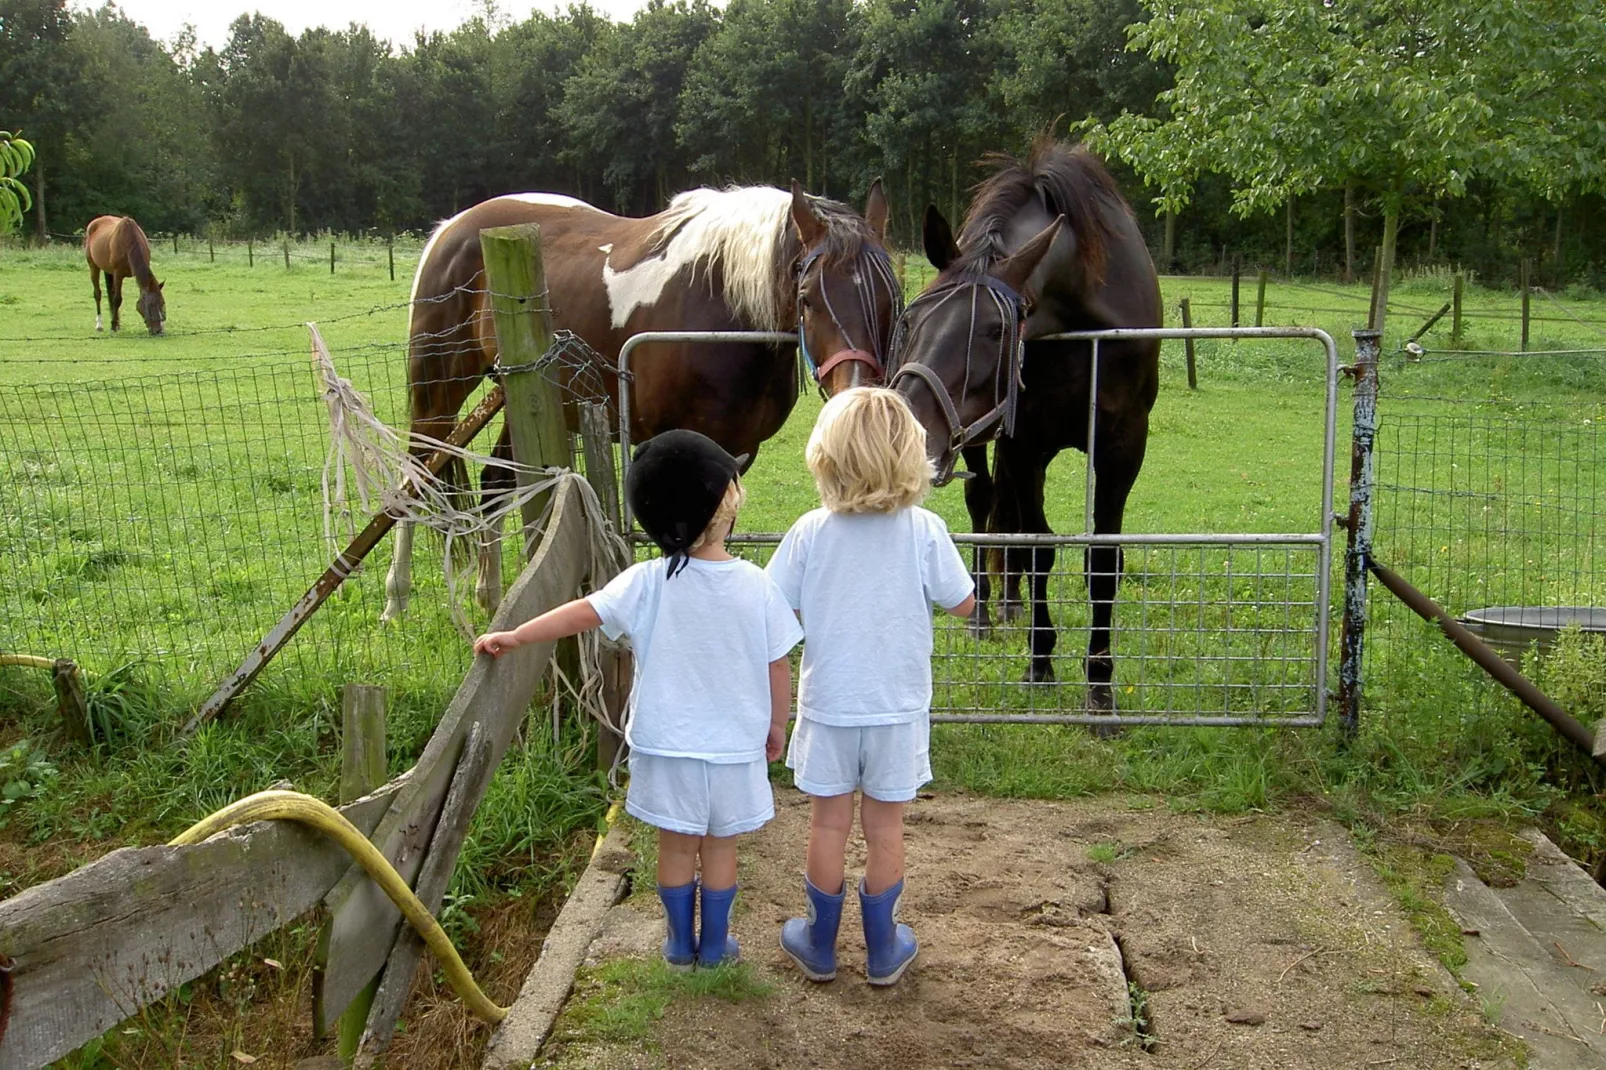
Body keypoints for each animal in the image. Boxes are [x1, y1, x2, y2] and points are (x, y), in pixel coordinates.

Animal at [382, 179, 899, 620]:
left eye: (891, 299)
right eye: (807, 296)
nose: (855, 396)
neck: (723, 311)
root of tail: (450, 227)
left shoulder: (738, 452)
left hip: (522, 401)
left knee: (493, 488)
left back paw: (494, 600)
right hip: (438, 392)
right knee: (413, 477)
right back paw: (396, 597)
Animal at [892, 139, 1156, 706]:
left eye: (995, 330)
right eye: (913, 317)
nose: (905, 429)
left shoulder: (1124, 444)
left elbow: (1103, 560)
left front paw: (1100, 681)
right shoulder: (1024, 441)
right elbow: (1036, 544)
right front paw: (1041, 660)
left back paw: (1012, 602)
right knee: (986, 502)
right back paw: (989, 611)